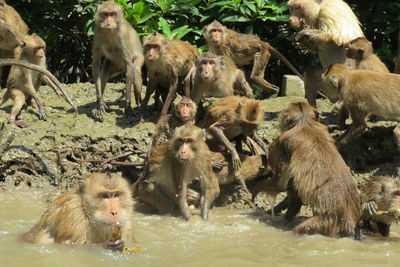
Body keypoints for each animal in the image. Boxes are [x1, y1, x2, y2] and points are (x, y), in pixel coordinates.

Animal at [255, 102, 360, 239]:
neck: (304, 121)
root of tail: (350, 219)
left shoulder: (281, 143)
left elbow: (279, 184)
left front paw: (254, 189)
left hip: (327, 222)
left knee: (303, 228)